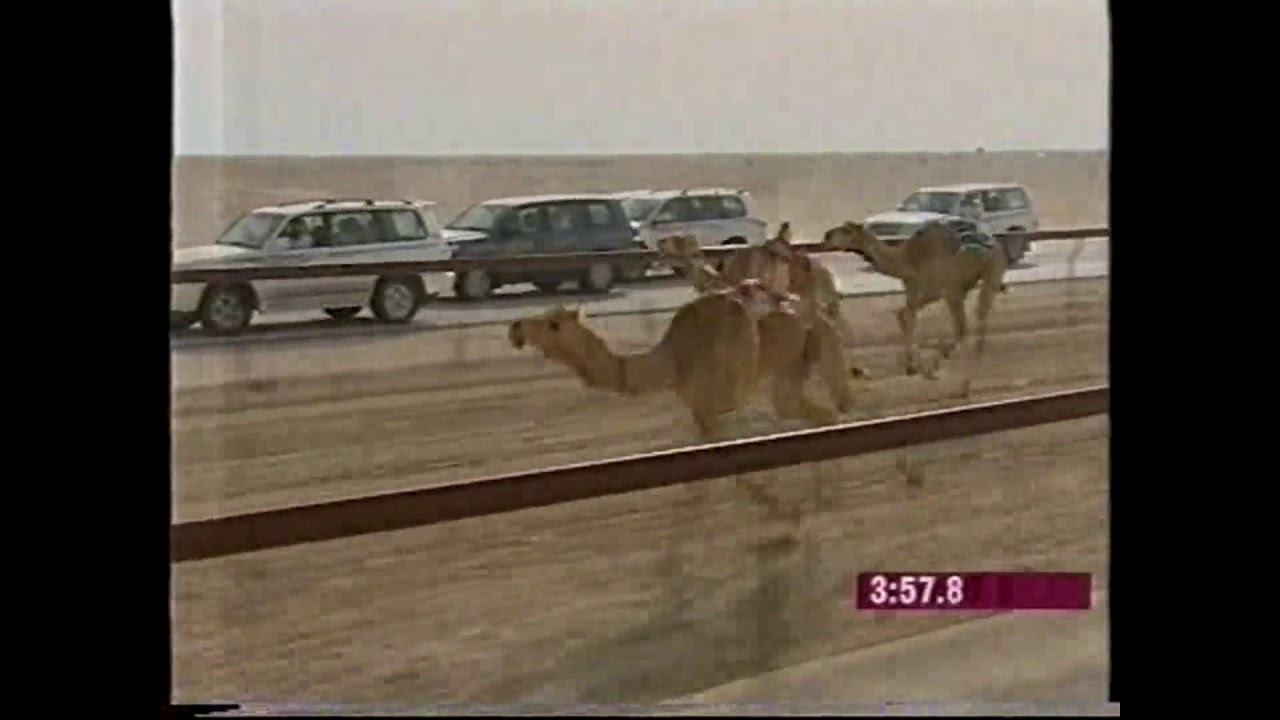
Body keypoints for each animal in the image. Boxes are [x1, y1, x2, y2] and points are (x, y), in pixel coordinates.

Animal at [821, 220, 1008, 377]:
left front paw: (911, 365)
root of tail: (988, 248)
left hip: (953, 287)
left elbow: (906, 316)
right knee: (980, 318)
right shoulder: (919, 289)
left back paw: (935, 367)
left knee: (962, 327)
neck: (905, 260)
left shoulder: (930, 289)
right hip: (992, 276)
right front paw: (910, 364)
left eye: (847, 230)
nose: (827, 235)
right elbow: (905, 316)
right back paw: (971, 371)